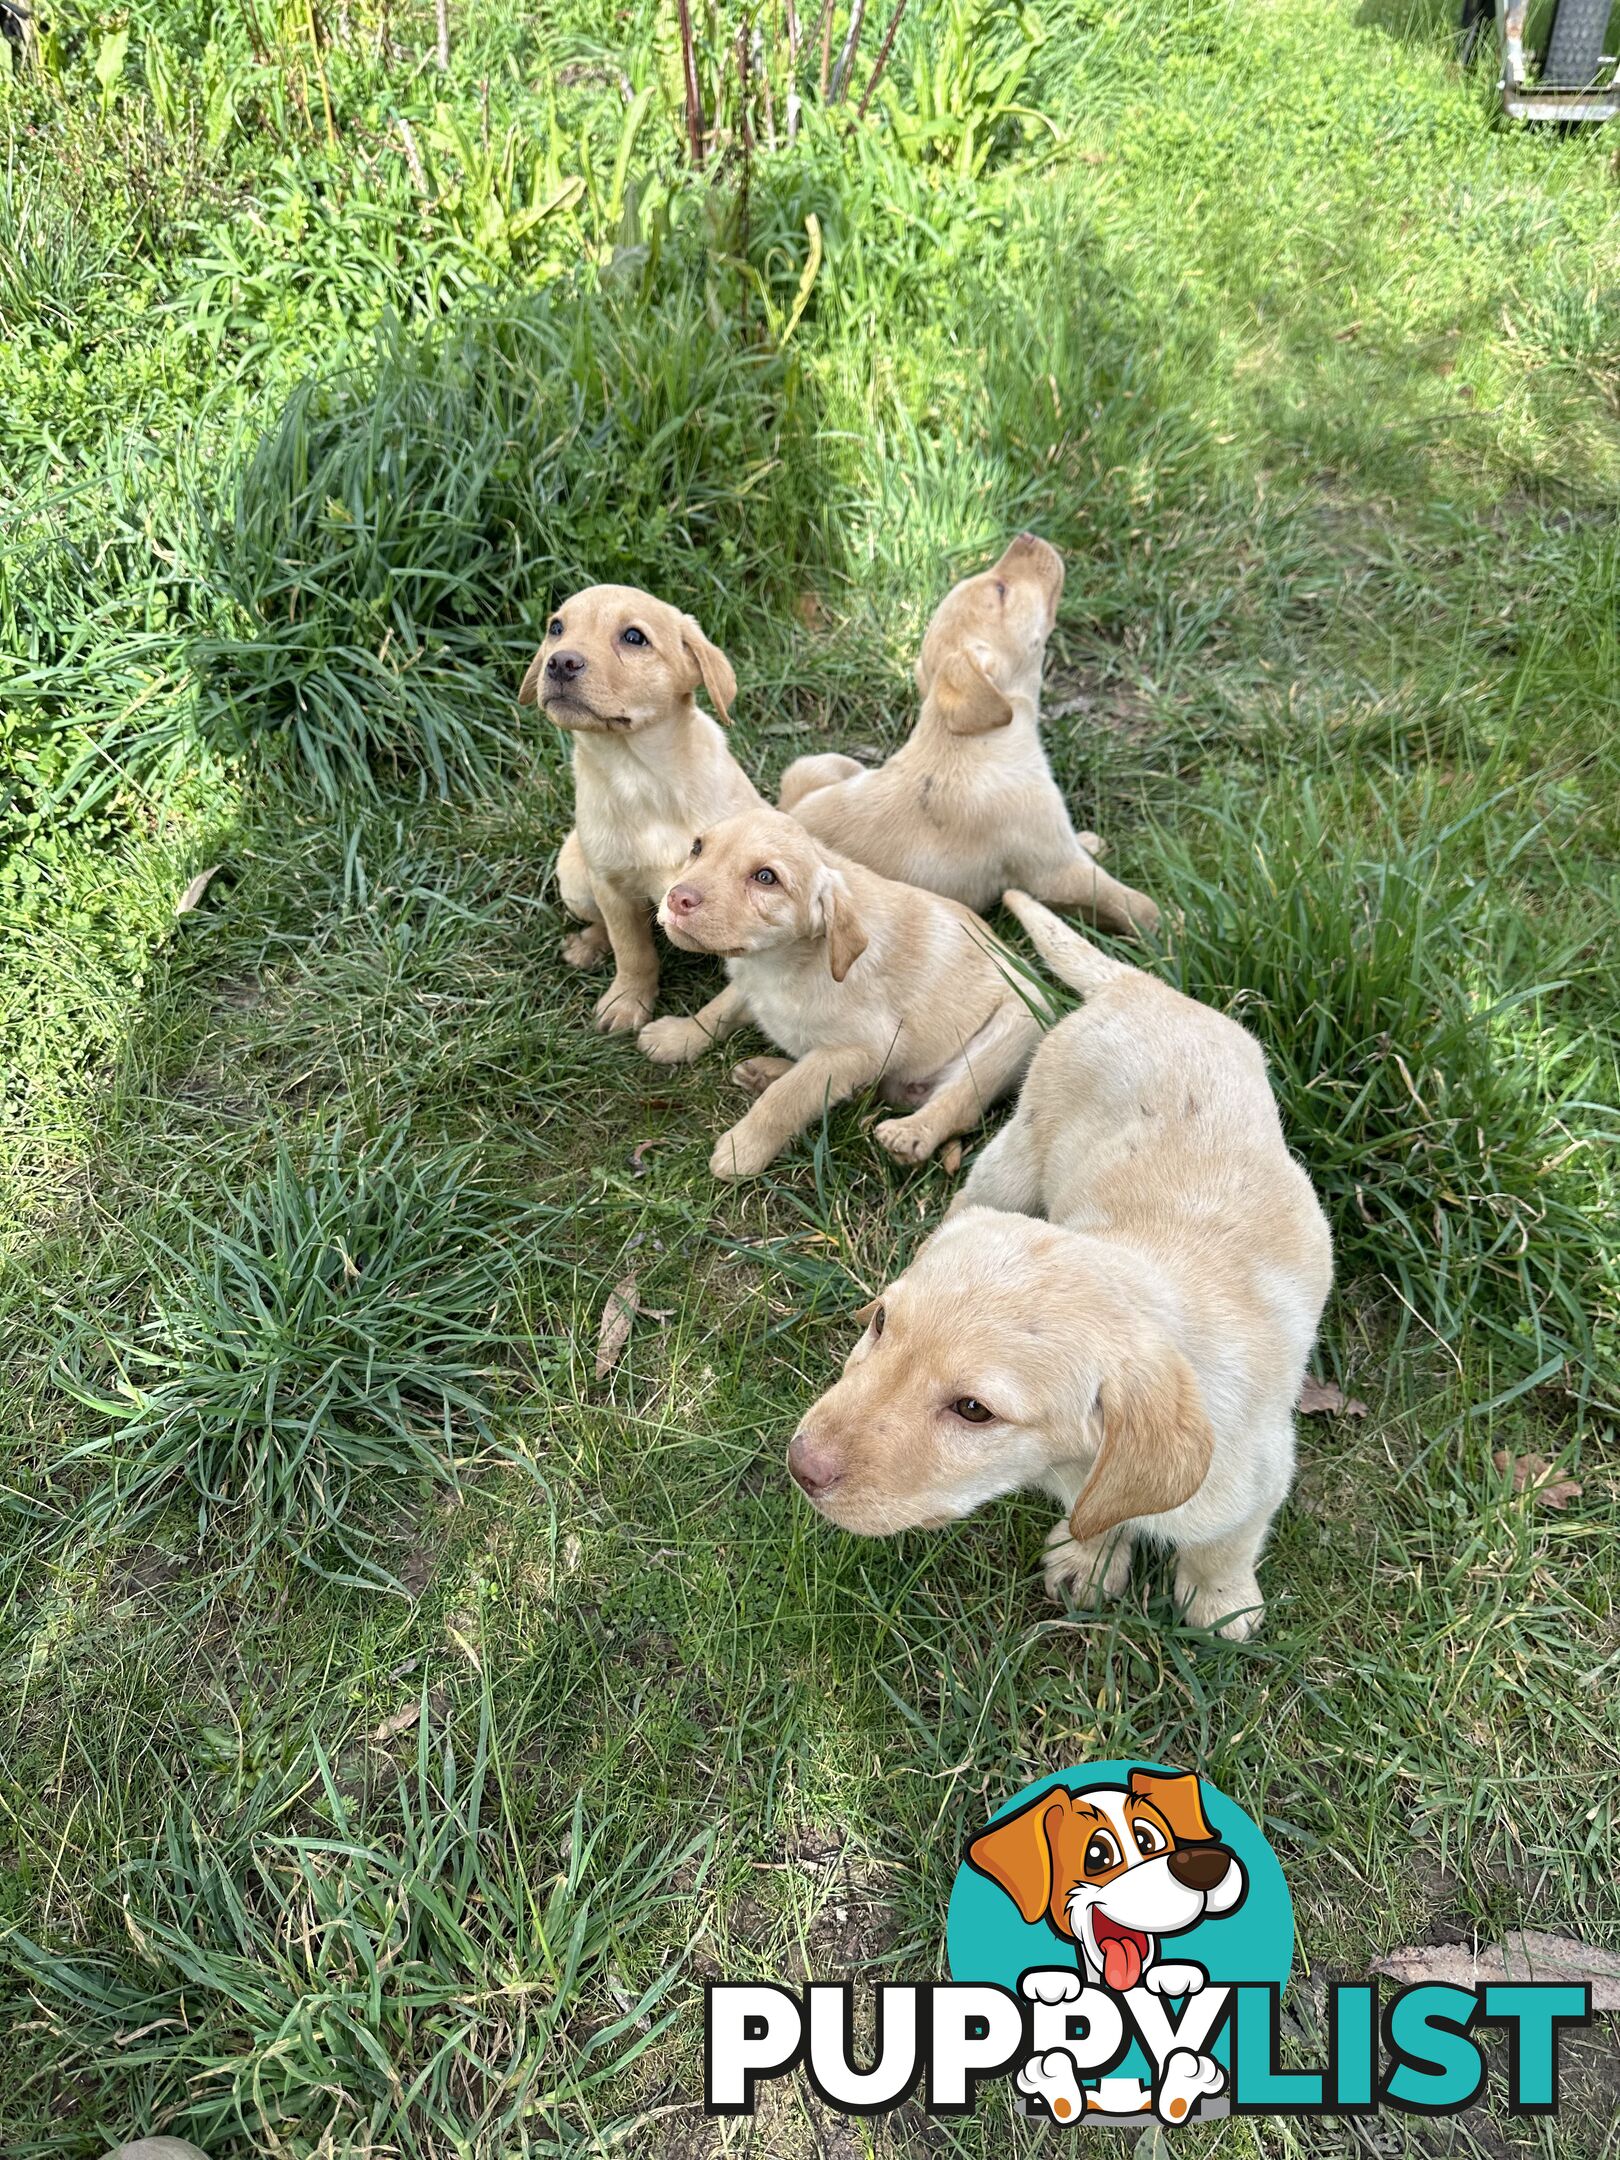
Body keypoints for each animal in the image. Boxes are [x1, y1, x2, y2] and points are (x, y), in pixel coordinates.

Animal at [527, 587, 768, 1032]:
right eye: (556, 628)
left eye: (634, 638)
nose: (560, 662)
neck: (641, 776)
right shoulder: (611, 886)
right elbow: (632, 949)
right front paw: (627, 1002)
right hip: (576, 879)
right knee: (603, 924)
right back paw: (587, 945)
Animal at [639, 803, 1045, 1183]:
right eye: (697, 848)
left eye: (766, 878)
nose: (676, 899)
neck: (781, 964)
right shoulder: (749, 985)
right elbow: (715, 1012)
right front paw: (676, 1036)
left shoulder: (866, 1047)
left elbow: (789, 1096)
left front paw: (745, 1147)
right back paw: (765, 1071)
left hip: (1012, 1030)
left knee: (959, 1101)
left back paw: (911, 1133)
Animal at [781, 533, 1157, 937]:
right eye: (1001, 589)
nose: (1025, 536)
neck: (974, 737)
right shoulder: (1057, 871)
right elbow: (1130, 901)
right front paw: (1174, 925)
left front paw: (1089, 840)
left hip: (821, 766)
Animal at [786, 894, 1330, 1632]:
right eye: (880, 1327)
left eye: (975, 1411)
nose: (800, 1465)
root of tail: (1140, 987)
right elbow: (1098, 1513)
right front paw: (1090, 1558)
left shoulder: (1260, 1479)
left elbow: (1224, 1544)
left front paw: (1221, 1602)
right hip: (1013, 1155)